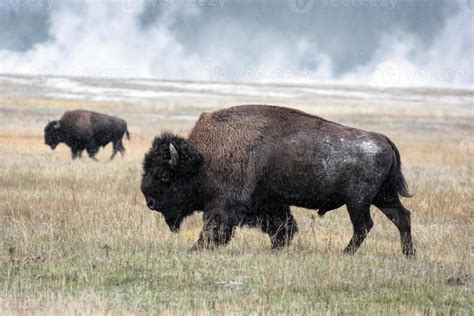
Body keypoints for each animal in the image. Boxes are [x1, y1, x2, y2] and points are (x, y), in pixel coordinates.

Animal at [141, 105, 414, 258]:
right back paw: (408, 254)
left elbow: (214, 227)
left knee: (364, 225)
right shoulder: (268, 204)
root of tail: (383, 140)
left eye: (163, 175)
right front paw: (276, 248)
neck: (204, 158)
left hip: (357, 201)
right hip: (383, 196)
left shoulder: (225, 205)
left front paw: (196, 249)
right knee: (401, 217)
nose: (150, 201)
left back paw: (346, 254)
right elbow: (283, 226)